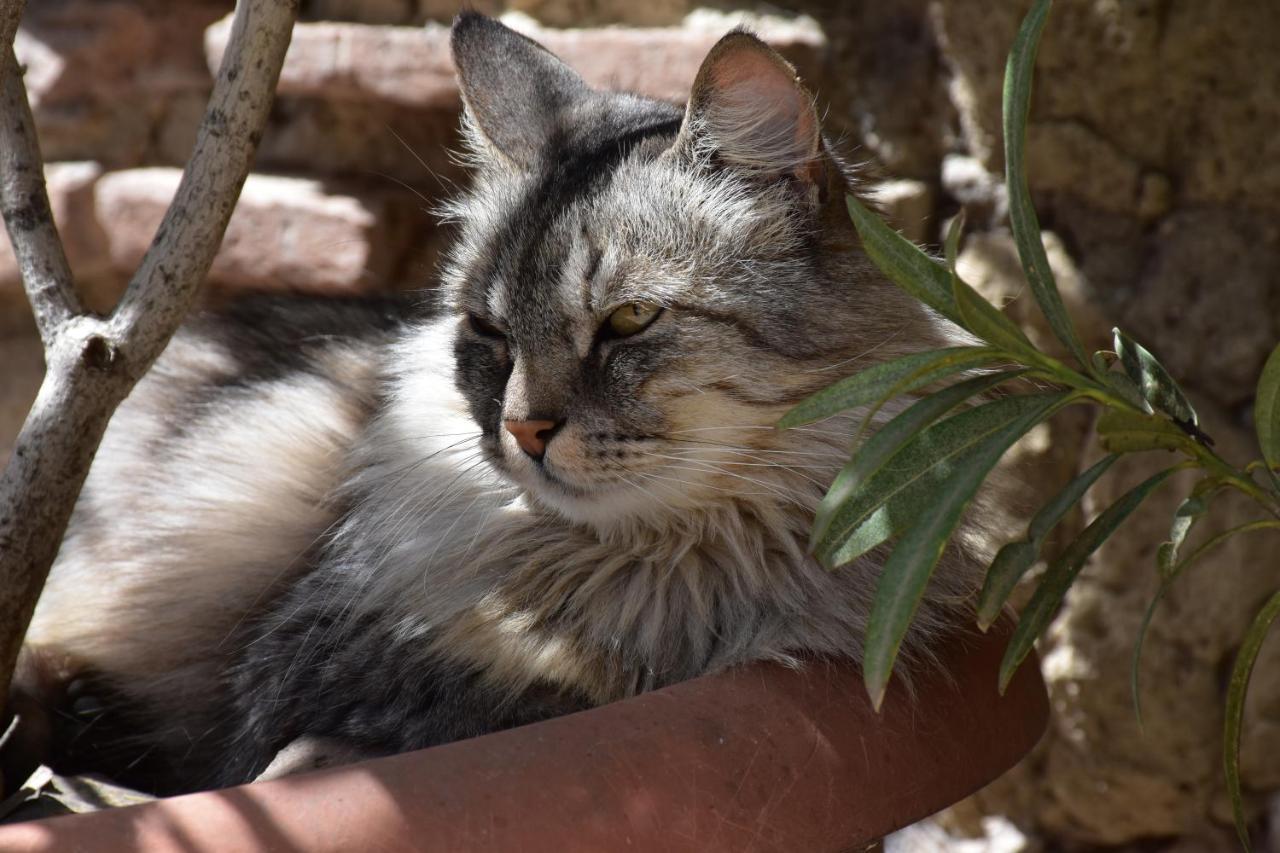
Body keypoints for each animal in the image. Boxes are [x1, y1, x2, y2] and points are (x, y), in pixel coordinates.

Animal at [12, 11, 977, 788]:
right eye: (489, 330)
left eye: (629, 320)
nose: (524, 429)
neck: (668, 570)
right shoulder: (306, 667)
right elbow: (513, 700)